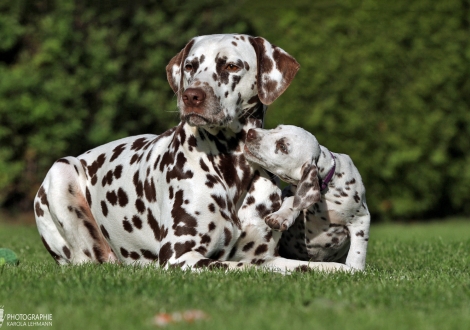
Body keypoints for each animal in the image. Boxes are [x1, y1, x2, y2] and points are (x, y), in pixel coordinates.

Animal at [35, 34, 350, 274]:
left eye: (231, 65)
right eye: (190, 66)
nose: (192, 96)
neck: (232, 168)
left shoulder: (266, 254)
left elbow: (300, 266)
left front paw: (338, 269)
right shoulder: (181, 257)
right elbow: (244, 267)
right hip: (62, 172)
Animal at [242, 125, 370, 270]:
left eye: (282, 146)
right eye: (277, 128)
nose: (251, 132)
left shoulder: (361, 219)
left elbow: (357, 253)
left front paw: (355, 270)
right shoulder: (291, 193)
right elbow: (293, 201)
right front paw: (280, 216)